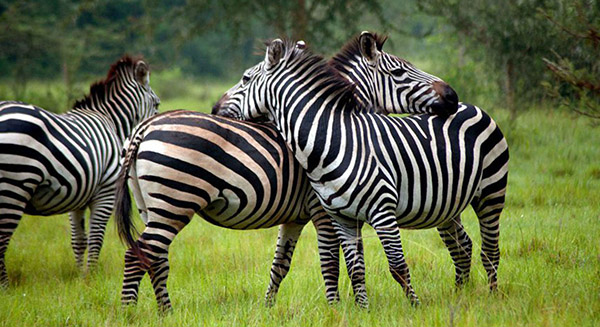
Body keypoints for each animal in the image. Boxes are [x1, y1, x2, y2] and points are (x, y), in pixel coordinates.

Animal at [0, 56, 159, 290]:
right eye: (157, 104)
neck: (111, 121)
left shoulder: (78, 194)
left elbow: (79, 241)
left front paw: (79, 276)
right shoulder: (105, 192)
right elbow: (96, 238)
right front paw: (91, 277)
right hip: (15, 185)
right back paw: (5, 287)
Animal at [115, 39, 458, 312]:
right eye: (400, 72)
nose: (453, 97)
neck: (333, 128)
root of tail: (145, 126)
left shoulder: (297, 217)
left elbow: (282, 264)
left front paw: (269, 308)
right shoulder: (323, 211)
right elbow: (332, 261)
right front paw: (336, 308)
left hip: (152, 206)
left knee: (155, 257)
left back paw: (165, 312)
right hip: (175, 201)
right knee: (138, 255)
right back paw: (129, 313)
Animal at [214, 37, 506, 306]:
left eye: (245, 78)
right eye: (399, 72)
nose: (452, 96)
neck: (335, 137)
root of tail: (472, 106)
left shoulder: (357, 212)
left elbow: (351, 263)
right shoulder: (333, 215)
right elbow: (342, 265)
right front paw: (353, 308)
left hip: (490, 193)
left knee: (488, 249)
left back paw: (489, 296)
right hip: (446, 204)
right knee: (463, 246)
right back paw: (461, 294)